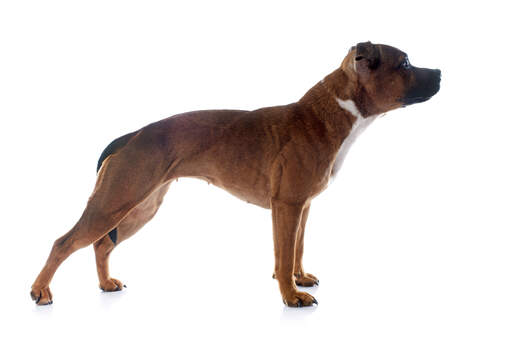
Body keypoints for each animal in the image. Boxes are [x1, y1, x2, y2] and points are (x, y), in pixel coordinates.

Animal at [31, 41, 440, 308]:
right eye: (405, 64)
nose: (439, 72)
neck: (332, 110)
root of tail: (132, 135)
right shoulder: (286, 206)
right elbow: (282, 255)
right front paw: (291, 296)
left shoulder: (303, 207)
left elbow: (297, 249)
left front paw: (300, 279)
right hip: (115, 202)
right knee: (64, 243)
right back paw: (40, 291)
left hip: (139, 207)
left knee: (101, 244)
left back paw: (105, 284)